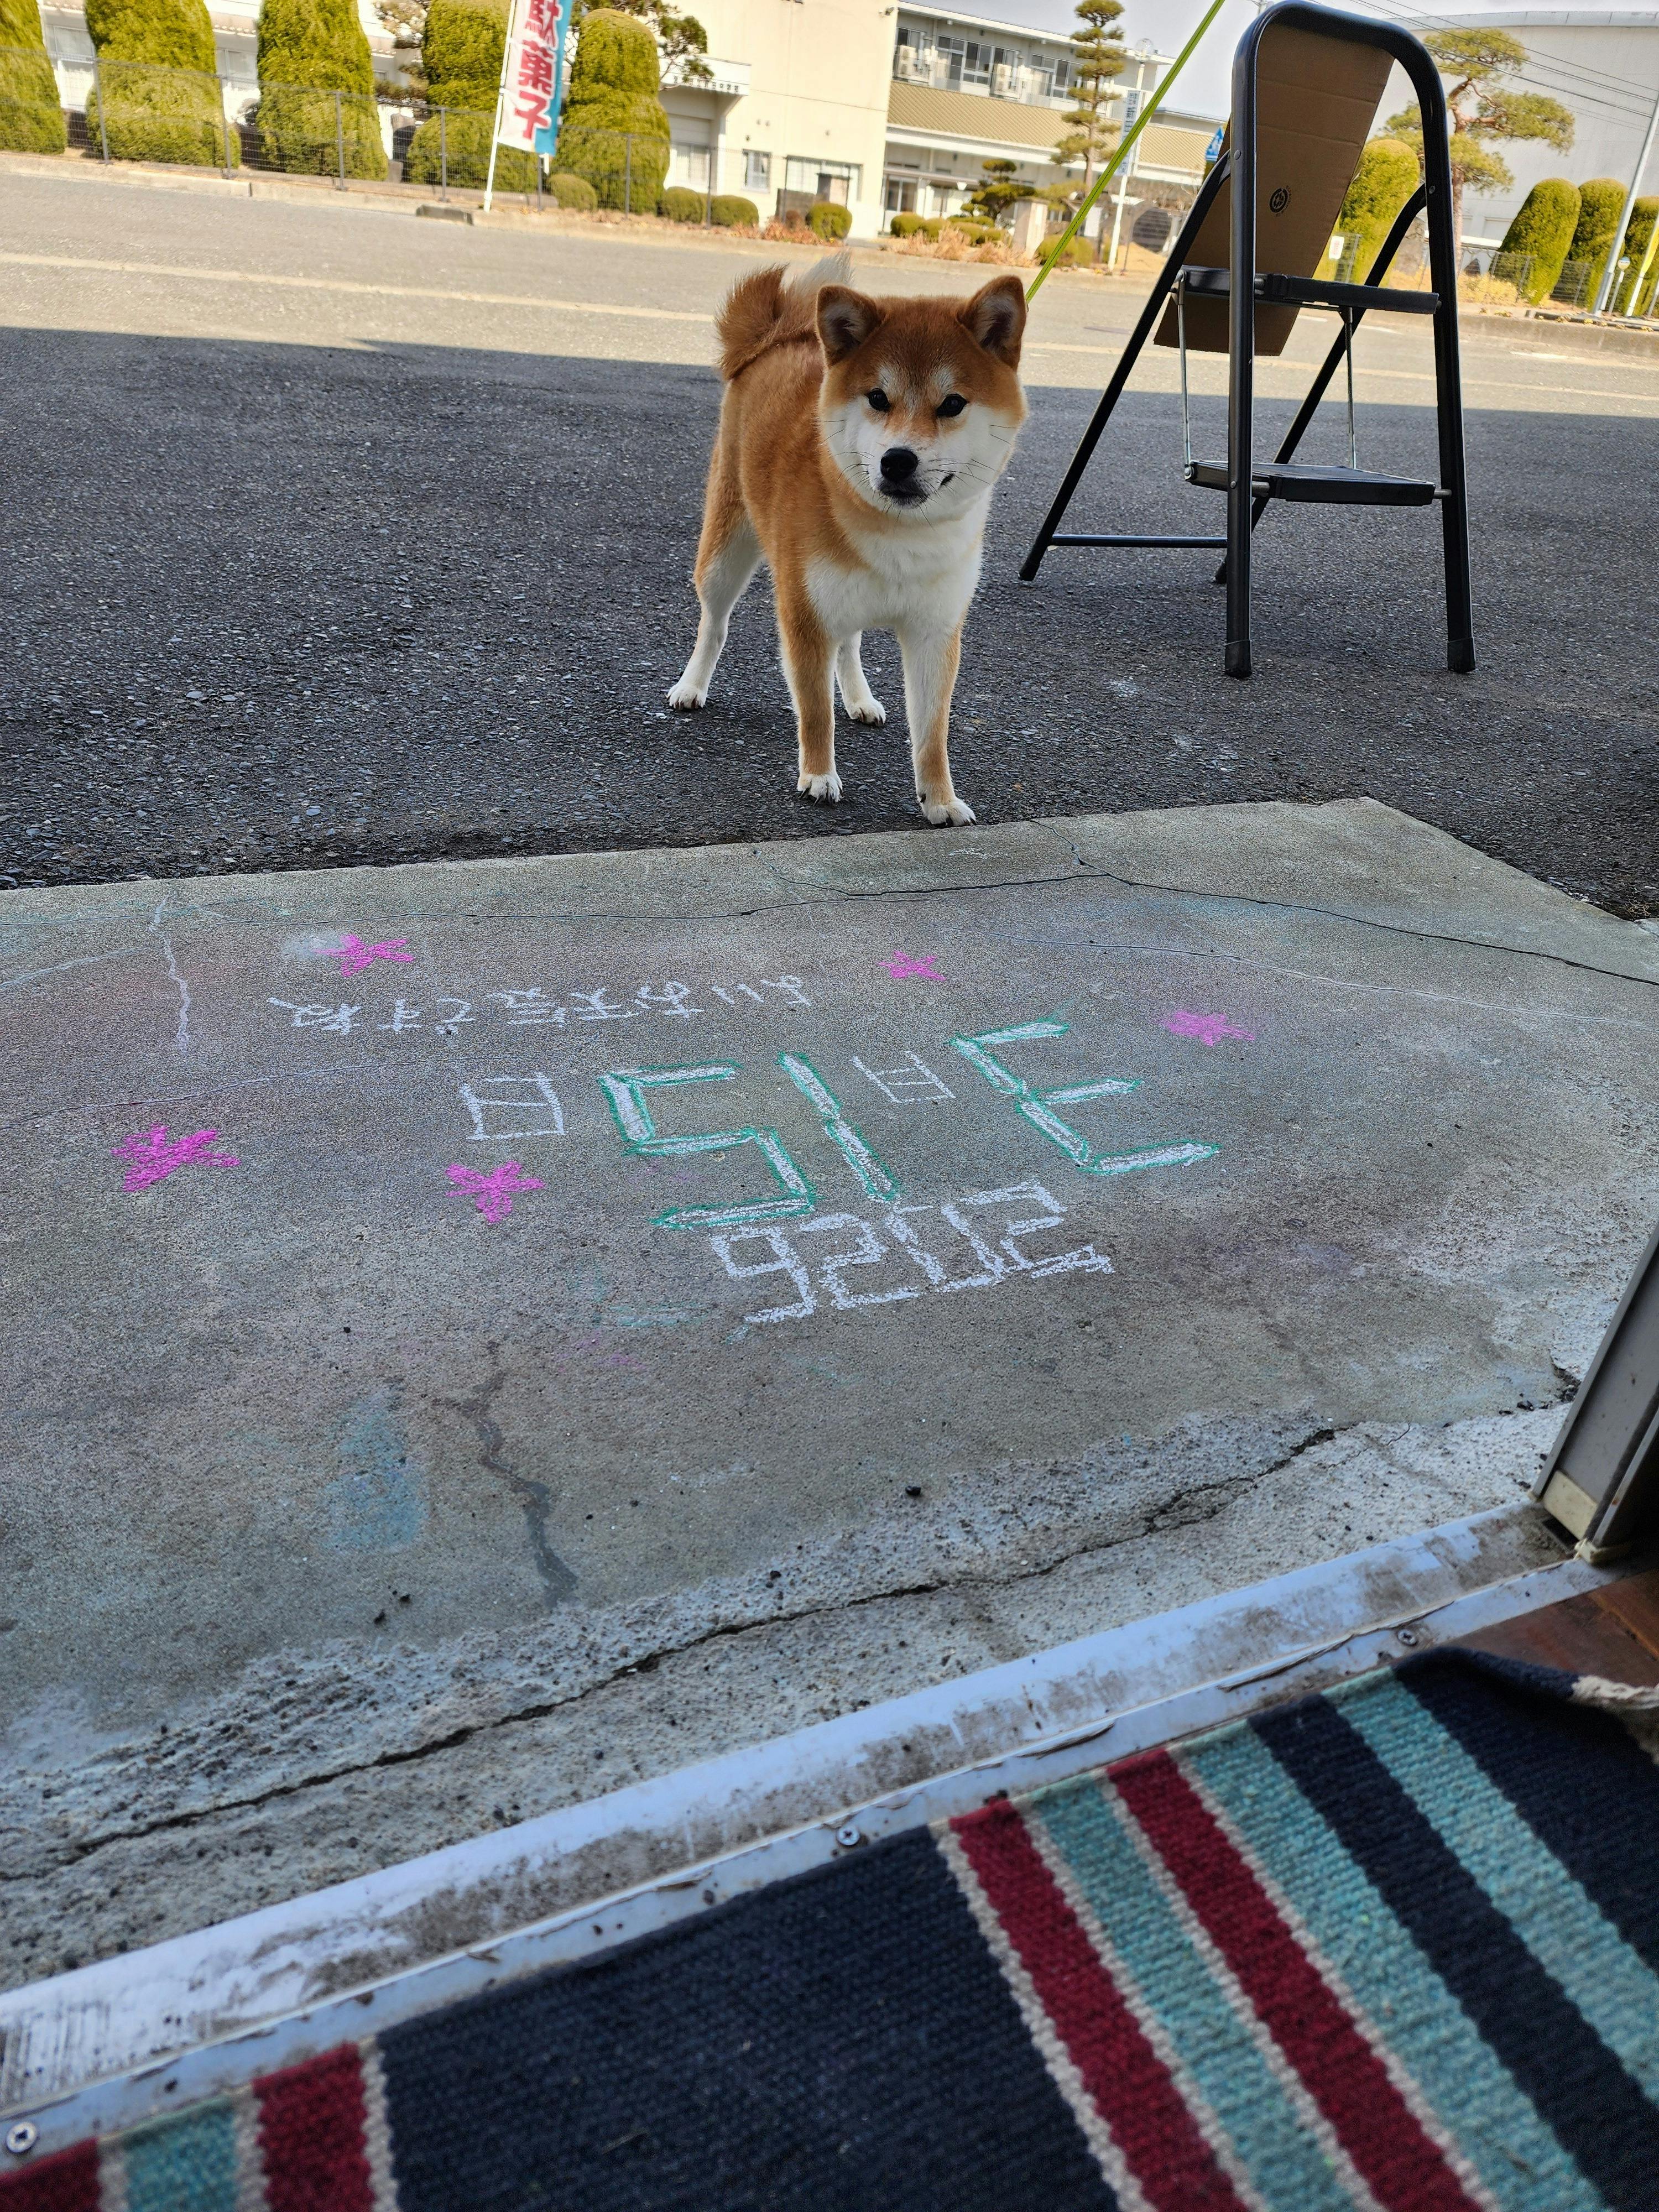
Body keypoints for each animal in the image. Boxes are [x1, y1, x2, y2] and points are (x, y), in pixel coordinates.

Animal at [668, 253, 1028, 826]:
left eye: (952, 404)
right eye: (878, 398)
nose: (898, 459)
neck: (898, 534)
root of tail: (778, 339)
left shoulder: (935, 631)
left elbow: (933, 732)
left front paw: (940, 800)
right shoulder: (805, 615)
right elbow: (815, 711)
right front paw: (818, 776)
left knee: (850, 644)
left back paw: (860, 699)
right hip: (726, 550)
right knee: (715, 623)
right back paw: (691, 686)